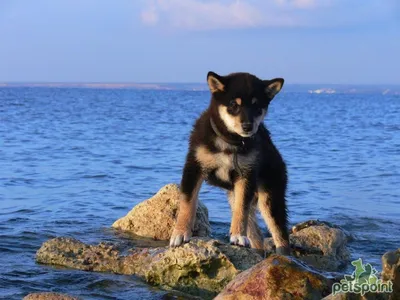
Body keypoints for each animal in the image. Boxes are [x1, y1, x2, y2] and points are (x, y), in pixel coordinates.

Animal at [170, 71, 290, 254]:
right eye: (234, 104)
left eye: (257, 106)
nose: (248, 126)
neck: (230, 142)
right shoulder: (194, 168)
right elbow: (187, 204)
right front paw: (180, 233)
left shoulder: (246, 175)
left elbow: (241, 210)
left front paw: (238, 236)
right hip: (237, 195)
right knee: (257, 234)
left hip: (269, 196)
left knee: (280, 234)